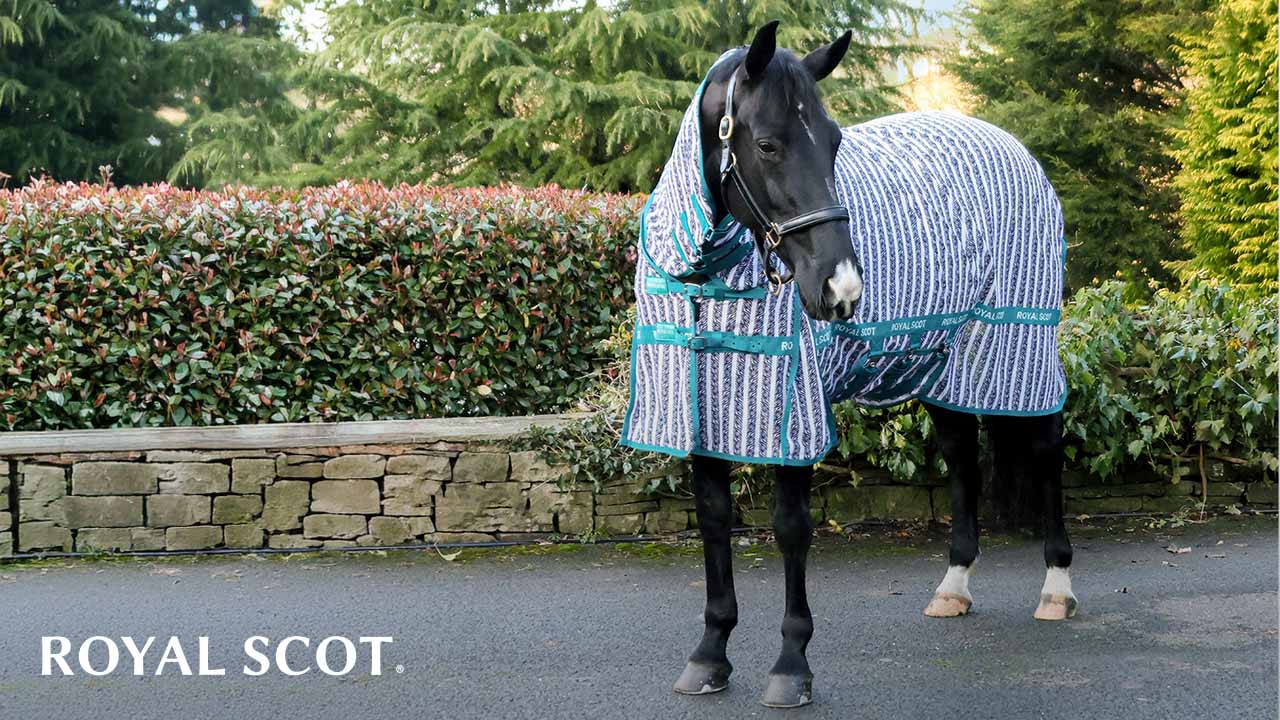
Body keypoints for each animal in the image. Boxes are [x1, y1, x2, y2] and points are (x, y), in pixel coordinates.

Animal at [620, 21, 1076, 708]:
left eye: (835, 142)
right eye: (768, 143)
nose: (841, 287)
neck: (707, 275)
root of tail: (1014, 149)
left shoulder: (791, 410)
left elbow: (790, 528)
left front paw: (791, 666)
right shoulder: (700, 414)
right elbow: (715, 523)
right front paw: (709, 655)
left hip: (1018, 347)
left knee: (1046, 452)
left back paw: (1056, 590)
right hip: (941, 364)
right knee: (962, 458)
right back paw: (953, 588)